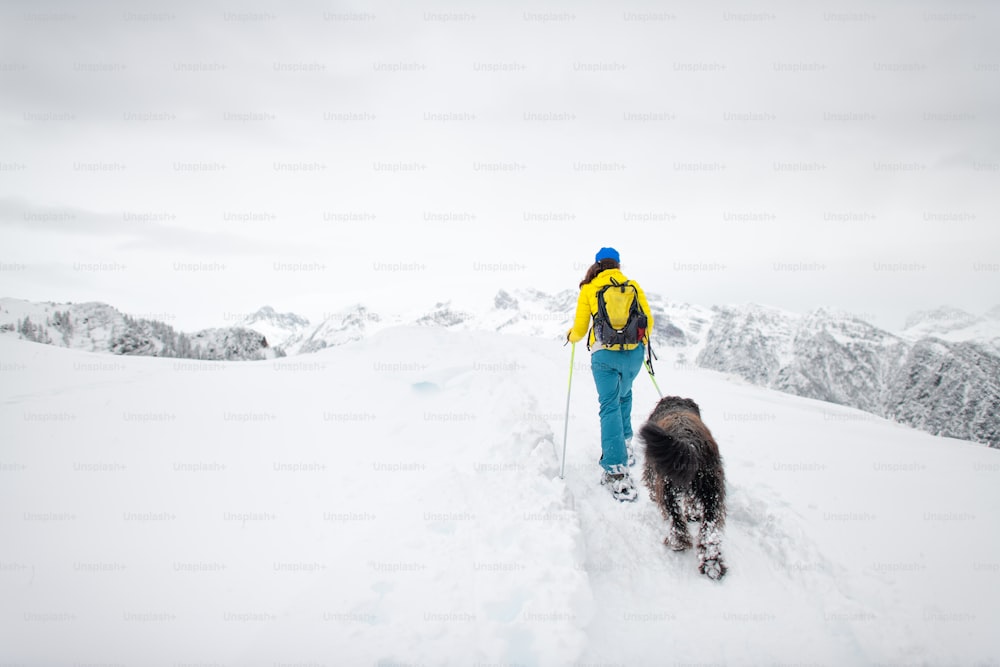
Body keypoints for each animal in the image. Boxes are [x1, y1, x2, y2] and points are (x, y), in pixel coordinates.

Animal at [640, 396, 728, 580]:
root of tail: (690, 443)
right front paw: (693, 515)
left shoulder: (651, 467)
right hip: (712, 493)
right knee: (709, 530)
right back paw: (712, 564)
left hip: (667, 488)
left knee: (676, 519)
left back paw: (677, 543)